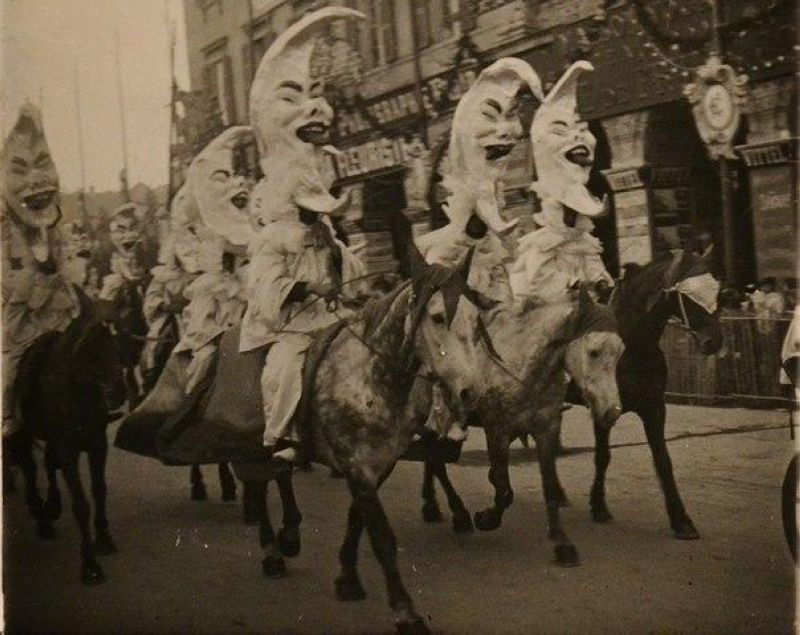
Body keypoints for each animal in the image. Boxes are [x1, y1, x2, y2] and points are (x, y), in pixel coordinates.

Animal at [5, 290, 126, 584]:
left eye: (119, 336)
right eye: (90, 342)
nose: (119, 392)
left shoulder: (97, 445)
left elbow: (99, 490)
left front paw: (104, 539)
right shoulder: (68, 449)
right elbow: (81, 503)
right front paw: (90, 564)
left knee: (48, 462)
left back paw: (51, 504)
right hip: (23, 434)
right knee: (29, 468)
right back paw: (41, 518)